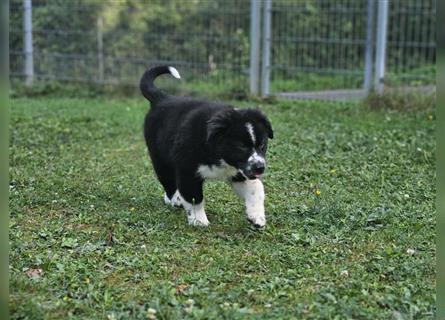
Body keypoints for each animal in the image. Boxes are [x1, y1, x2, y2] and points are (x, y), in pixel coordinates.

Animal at [139, 65, 272, 228]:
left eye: (262, 145)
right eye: (241, 147)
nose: (260, 168)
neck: (217, 152)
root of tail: (162, 98)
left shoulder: (239, 171)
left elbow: (256, 188)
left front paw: (257, 217)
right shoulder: (187, 171)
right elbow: (194, 197)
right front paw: (199, 221)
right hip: (160, 158)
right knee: (168, 180)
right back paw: (175, 199)